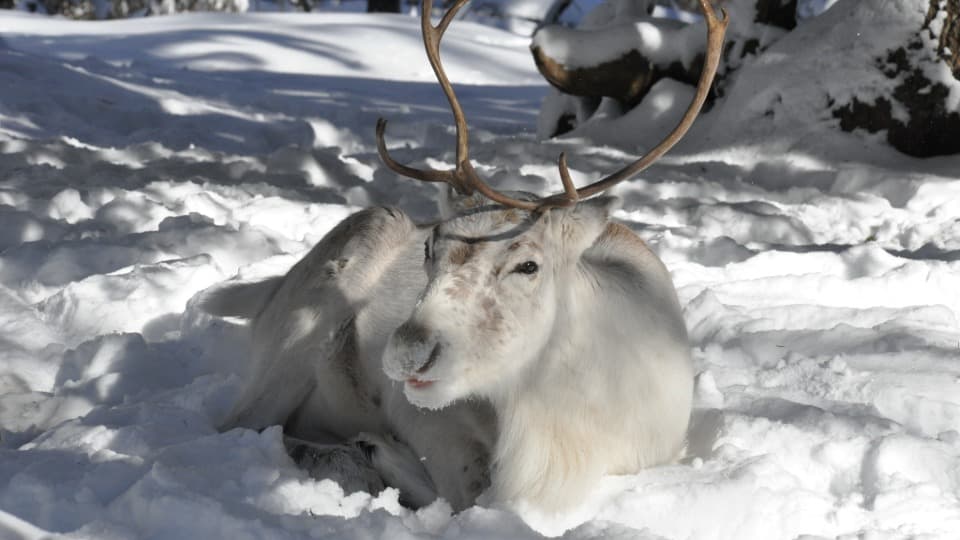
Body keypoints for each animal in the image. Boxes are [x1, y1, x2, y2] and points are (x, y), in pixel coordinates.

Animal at [198, 0, 727, 515]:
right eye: (430, 247)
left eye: (528, 265)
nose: (406, 351)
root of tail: (271, 290)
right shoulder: (429, 419)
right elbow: (464, 491)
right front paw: (378, 454)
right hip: (329, 287)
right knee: (242, 425)